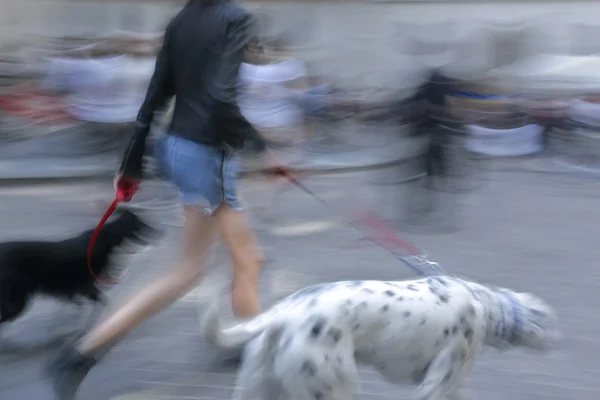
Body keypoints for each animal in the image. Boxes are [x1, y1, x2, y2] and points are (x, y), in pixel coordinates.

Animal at [203, 276, 556, 400]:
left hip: (256, 389)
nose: (561, 339)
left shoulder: (448, 386)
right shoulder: (435, 385)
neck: (482, 302)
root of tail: (285, 313)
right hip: (335, 391)